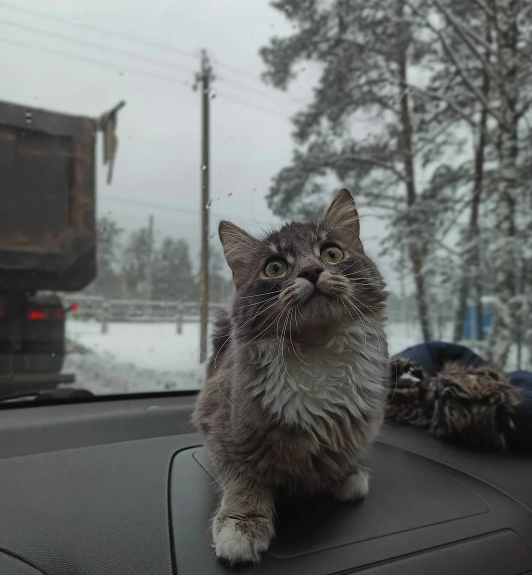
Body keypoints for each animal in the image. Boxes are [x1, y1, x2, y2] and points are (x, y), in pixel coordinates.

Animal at [193, 188, 388, 564]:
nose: (311, 271)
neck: (315, 350)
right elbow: (244, 479)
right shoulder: (218, 426)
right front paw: (242, 525)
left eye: (331, 253)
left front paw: (345, 475)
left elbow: (339, 455)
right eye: (275, 267)